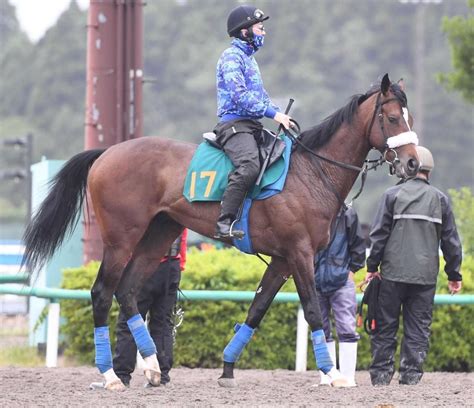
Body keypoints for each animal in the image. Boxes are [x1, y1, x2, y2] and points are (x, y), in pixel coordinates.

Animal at [22, 75, 418, 390]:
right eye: (392, 117)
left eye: (409, 117)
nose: (413, 163)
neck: (311, 171)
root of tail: (107, 153)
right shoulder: (300, 254)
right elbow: (312, 311)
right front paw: (332, 374)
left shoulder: (281, 260)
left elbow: (256, 310)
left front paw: (227, 368)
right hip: (121, 239)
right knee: (103, 292)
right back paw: (109, 376)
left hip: (157, 236)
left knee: (128, 290)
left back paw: (152, 367)